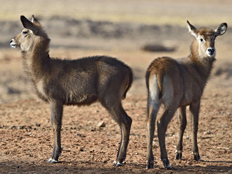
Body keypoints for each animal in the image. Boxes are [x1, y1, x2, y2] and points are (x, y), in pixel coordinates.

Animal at [9, 15, 132, 166]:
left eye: (25, 31)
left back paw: (118, 160)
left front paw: (54, 157)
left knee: (125, 121)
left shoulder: (55, 100)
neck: (44, 68)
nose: (11, 41)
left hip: (110, 99)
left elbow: (56, 124)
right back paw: (118, 158)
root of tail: (127, 68)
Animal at [146, 20, 227, 169]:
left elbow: (182, 124)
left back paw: (150, 162)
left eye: (214, 37)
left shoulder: (182, 104)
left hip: (153, 101)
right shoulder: (195, 101)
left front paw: (179, 152)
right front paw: (196, 154)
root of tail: (158, 67)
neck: (196, 66)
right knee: (161, 123)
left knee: (150, 122)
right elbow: (194, 125)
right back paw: (165, 161)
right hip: (170, 104)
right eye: (201, 38)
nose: (211, 50)